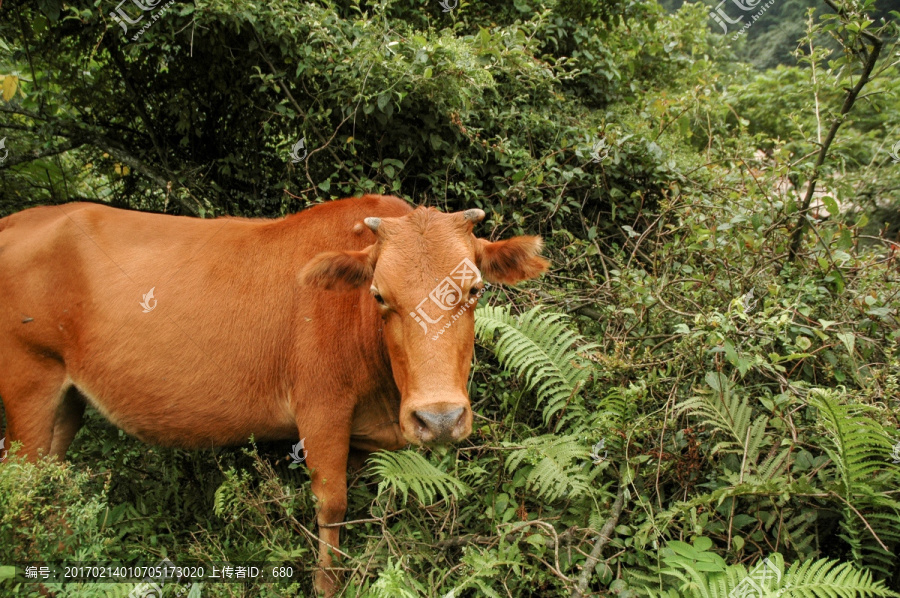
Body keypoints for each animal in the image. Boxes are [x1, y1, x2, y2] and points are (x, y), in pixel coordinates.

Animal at [0, 196, 548, 596]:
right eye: (379, 295)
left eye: (474, 290)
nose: (439, 418)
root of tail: (18, 219)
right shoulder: (321, 407)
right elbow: (333, 502)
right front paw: (327, 586)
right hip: (29, 380)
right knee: (23, 490)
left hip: (66, 400)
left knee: (51, 488)